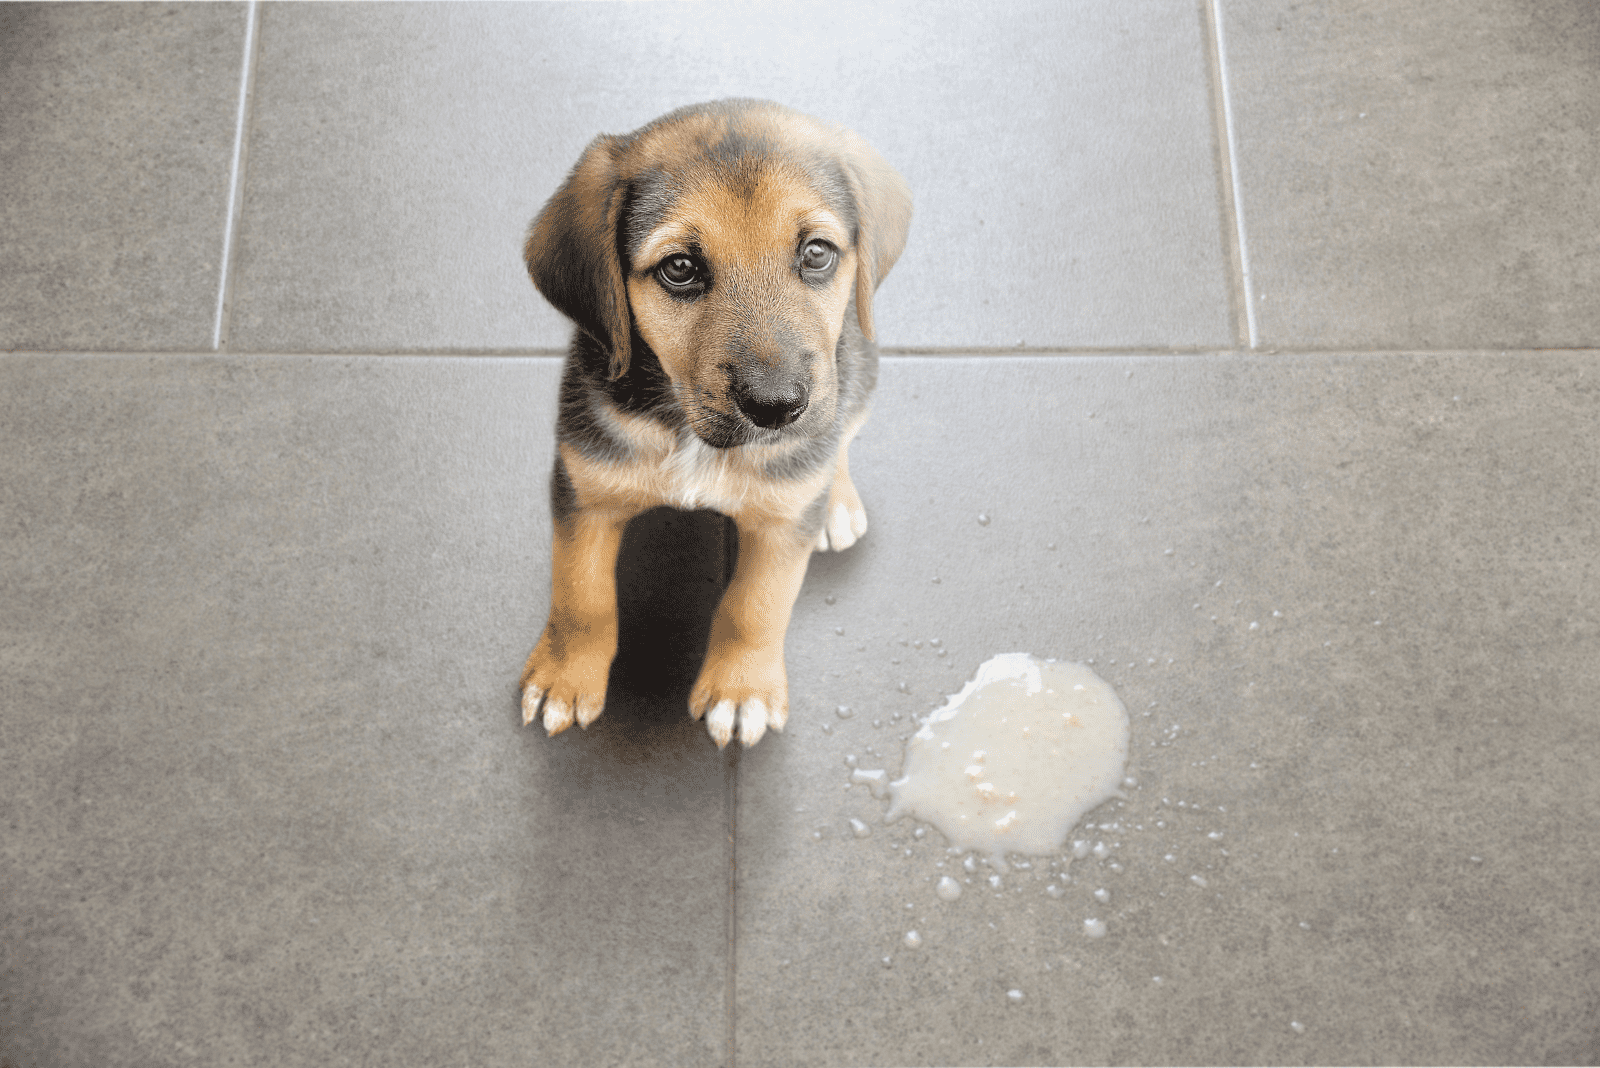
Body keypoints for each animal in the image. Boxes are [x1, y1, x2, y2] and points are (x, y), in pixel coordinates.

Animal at [518, 102, 908, 751]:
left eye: (817, 254)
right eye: (679, 268)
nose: (777, 407)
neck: (689, 434)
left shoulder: (781, 522)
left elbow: (756, 605)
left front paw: (741, 690)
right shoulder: (584, 487)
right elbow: (581, 595)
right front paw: (564, 677)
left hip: (858, 371)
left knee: (841, 435)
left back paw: (837, 501)